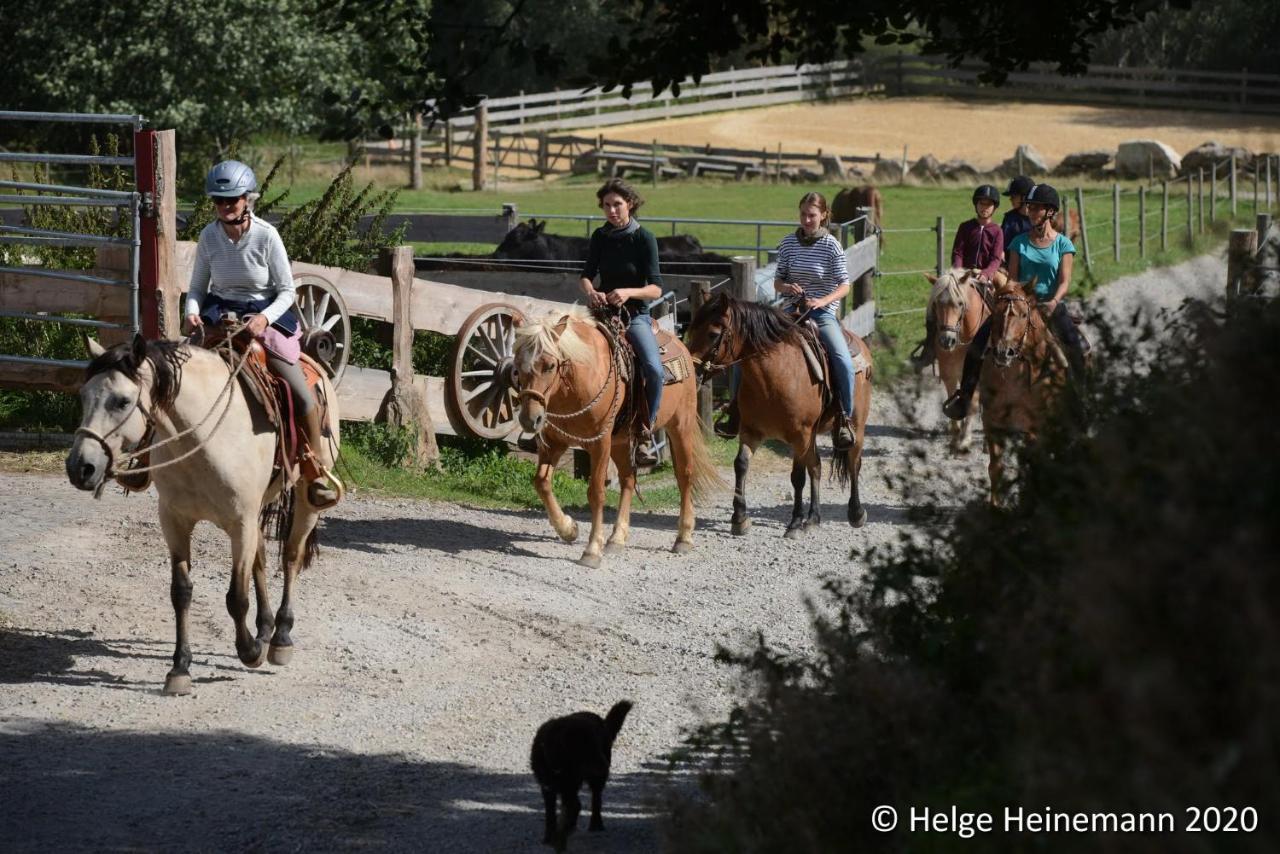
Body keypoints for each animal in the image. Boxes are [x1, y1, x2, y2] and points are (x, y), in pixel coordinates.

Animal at [66, 332, 337, 696]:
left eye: (122, 401)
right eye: (83, 395)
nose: (80, 467)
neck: (203, 439)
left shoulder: (240, 522)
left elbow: (236, 597)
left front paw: (249, 651)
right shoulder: (175, 521)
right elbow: (181, 592)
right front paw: (180, 668)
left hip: (306, 504)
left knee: (290, 558)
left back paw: (280, 637)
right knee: (261, 559)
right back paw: (265, 629)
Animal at [512, 308, 721, 568]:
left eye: (550, 365)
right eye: (516, 365)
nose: (530, 419)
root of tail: (680, 344)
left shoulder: (599, 443)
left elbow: (596, 492)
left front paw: (592, 550)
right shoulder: (554, 443)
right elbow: (541, 482)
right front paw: (568, 529)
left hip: (680, 426)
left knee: (684, 475)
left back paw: (683, 537)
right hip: (621, 442)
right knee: (629, 479)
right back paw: (616, 539)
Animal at [529, 701, 629, 850]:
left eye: (596, 744)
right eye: (585, 749)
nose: (606, 766)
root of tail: (602, 721)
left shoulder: (567, 788)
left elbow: (573, 808)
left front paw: (561, 836)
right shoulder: (548, 788)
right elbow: (550, 815)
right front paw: (549, 838)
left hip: (595, 780)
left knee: (596, 800)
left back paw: (595, 824)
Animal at [686, 291, 875, 535]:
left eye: (713, 334)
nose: (691, 372)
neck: (775, 377)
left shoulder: (800, 435)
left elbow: (797, 476)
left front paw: (794, 523)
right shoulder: (751, 431)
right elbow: (741, 464)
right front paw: (739, 518)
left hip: (856, 427)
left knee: (853, 463)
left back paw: (856, 513)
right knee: (816, 466)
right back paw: (813, 518)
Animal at [926, 268, 993, 453]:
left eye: (960, 304)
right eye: (936, 304)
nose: (946, 340)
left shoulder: (976, 374)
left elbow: (973, 402)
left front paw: (965, 439)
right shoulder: (949, 370)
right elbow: (952, 393)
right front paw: (956, 433)